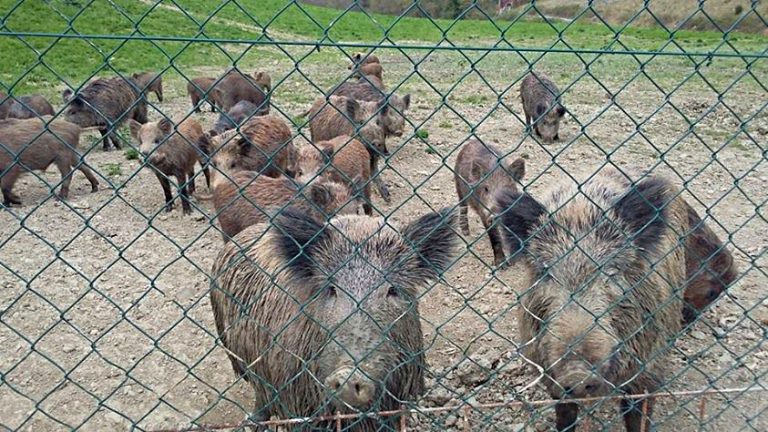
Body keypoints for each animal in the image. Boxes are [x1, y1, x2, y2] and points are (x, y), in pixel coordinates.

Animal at [454, 139, 525, 267]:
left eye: (508, 188)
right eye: (486, 189)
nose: (495, 215)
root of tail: (472, 141)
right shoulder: (483, 212)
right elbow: (494, 237)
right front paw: (501, 264)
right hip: (458, 183)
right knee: (462, 205)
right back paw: (465, 232)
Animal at [496, 169, 686, 432]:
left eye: (612, 272)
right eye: (546, 273)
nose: (577, 374)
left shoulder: (649, 368)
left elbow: (639, 416)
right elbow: (565, 415)